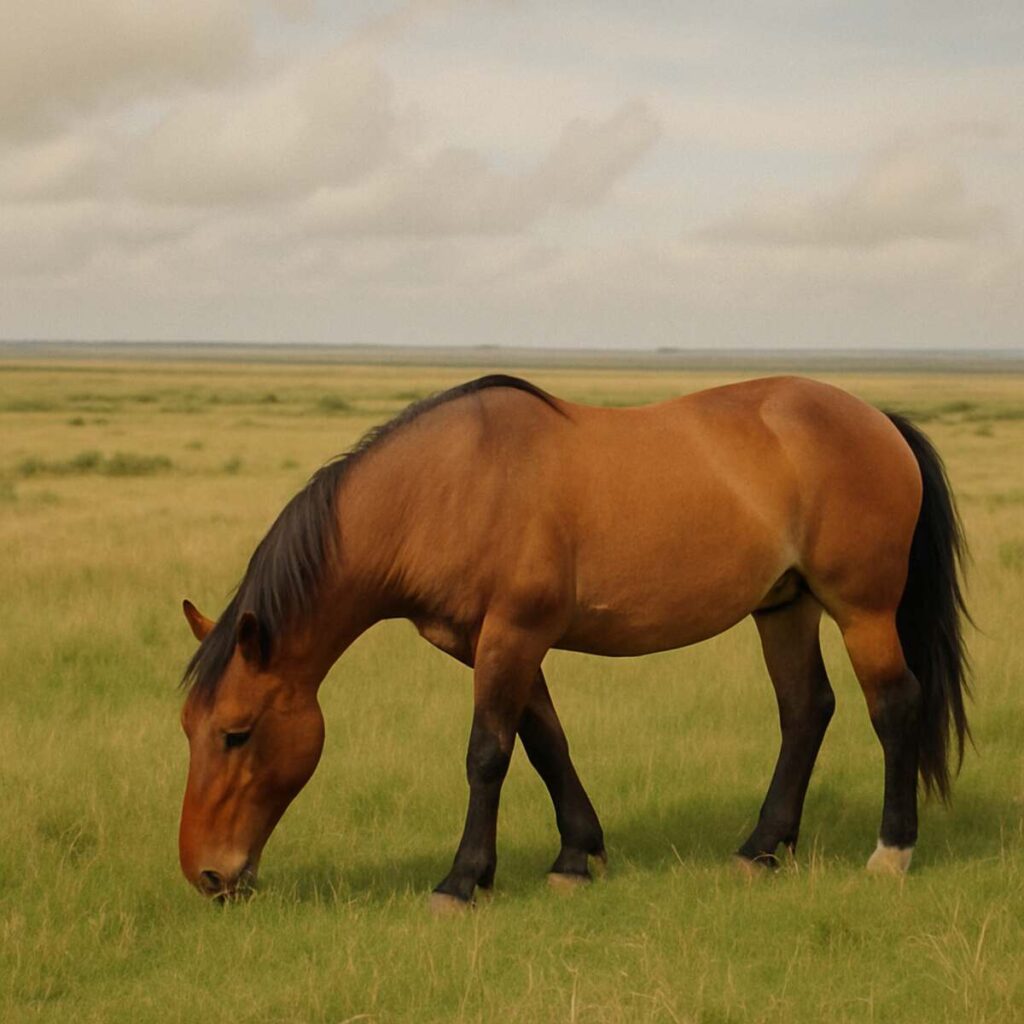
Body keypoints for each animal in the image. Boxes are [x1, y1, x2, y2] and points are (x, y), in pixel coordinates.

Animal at [178, 374, 970, 909]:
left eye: (237, 733)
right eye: (189, 729)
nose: (206, 874)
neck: (445, 488)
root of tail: (877, 418)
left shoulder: (512, 635)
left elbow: (488, 754)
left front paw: (462, 880)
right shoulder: (496, 643)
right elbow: (544, 742)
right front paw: (575, 856)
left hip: (862, 610)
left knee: (894, 707)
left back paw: (891, 853)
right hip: (785, 606)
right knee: (806, 710)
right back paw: (760, 849)